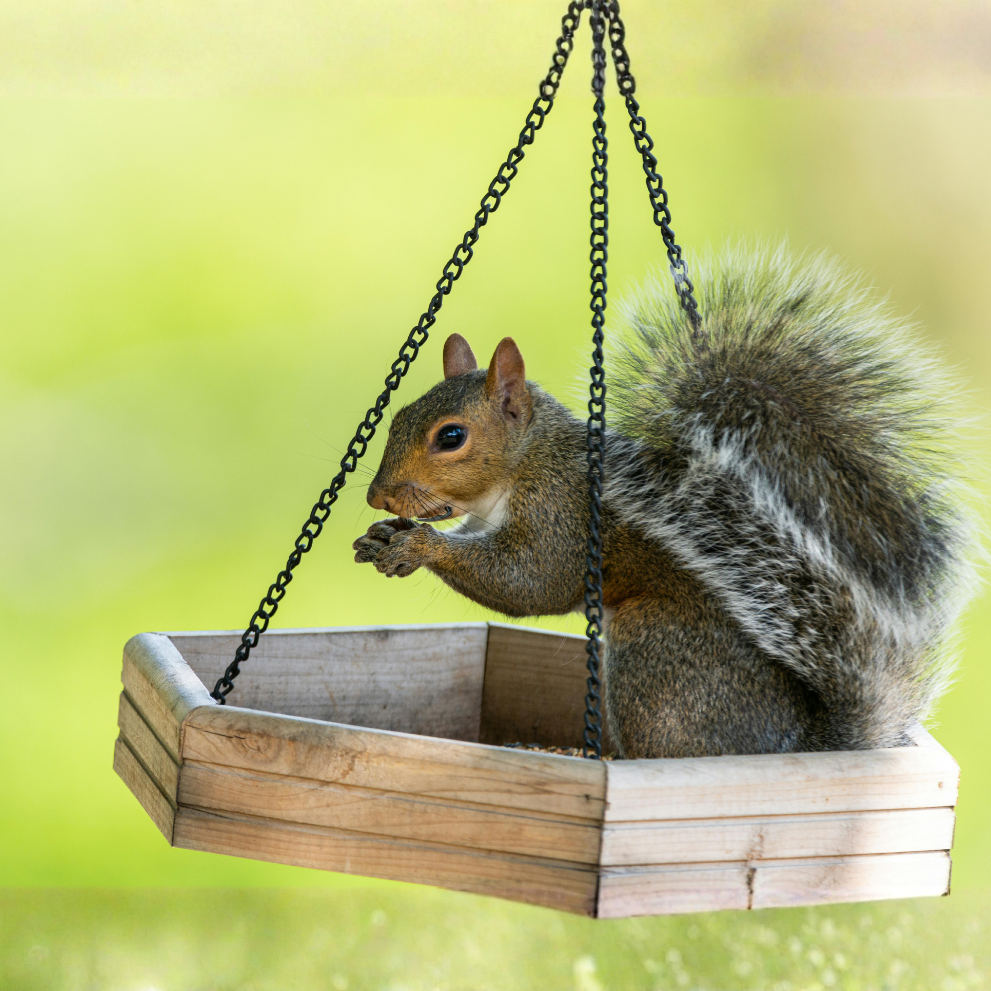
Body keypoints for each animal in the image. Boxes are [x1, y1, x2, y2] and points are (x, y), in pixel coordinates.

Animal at [353, 245, 979, 759]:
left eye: (451, 437)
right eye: (398, 414)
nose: (376, 495)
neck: (524, 464)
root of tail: (793, 743)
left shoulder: (564, 513)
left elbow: (531, 583)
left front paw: (421, 546)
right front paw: (386, 537)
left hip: (651, 652)